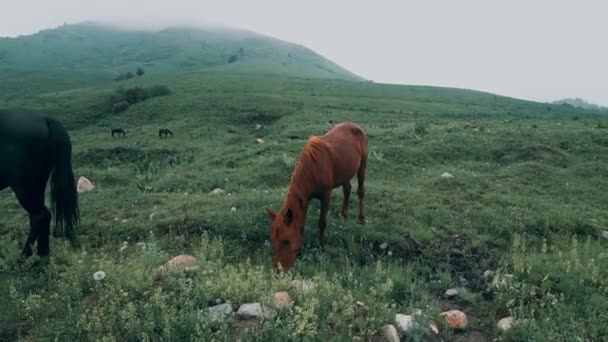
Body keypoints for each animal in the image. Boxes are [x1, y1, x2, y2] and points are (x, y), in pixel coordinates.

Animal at [0, 109, 79, 256]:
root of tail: (46, 119)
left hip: (25, 187)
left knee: (39, 216)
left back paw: (24, 256)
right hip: (37, 186)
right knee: (43, 217)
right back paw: (42, 256)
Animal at [268, 121, 370, 272]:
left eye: (285, 241)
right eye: (274, 240)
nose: (278, 270)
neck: (312, 169)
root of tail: (355, 125)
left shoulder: (326, 195)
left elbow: (322, 222)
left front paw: (321, 246)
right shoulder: (305, 200)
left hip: (362, 165)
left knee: (360, 191)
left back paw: (361, 218)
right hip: (345, 171)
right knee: (347, 190)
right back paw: (343, 214)